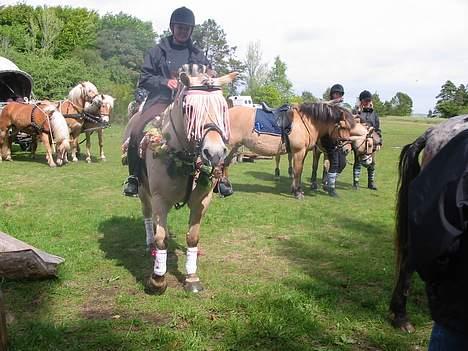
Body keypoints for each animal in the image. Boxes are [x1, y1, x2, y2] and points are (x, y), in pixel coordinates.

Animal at [225, 103, 356, 199]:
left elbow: (297, 171)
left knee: (225, 164)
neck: (305, 122)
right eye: (342, 126)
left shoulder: (301, 153)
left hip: (234, 147)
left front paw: (295, 189)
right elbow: (298, 171)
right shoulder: (299, 152)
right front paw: (297, 192)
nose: (346, 149)